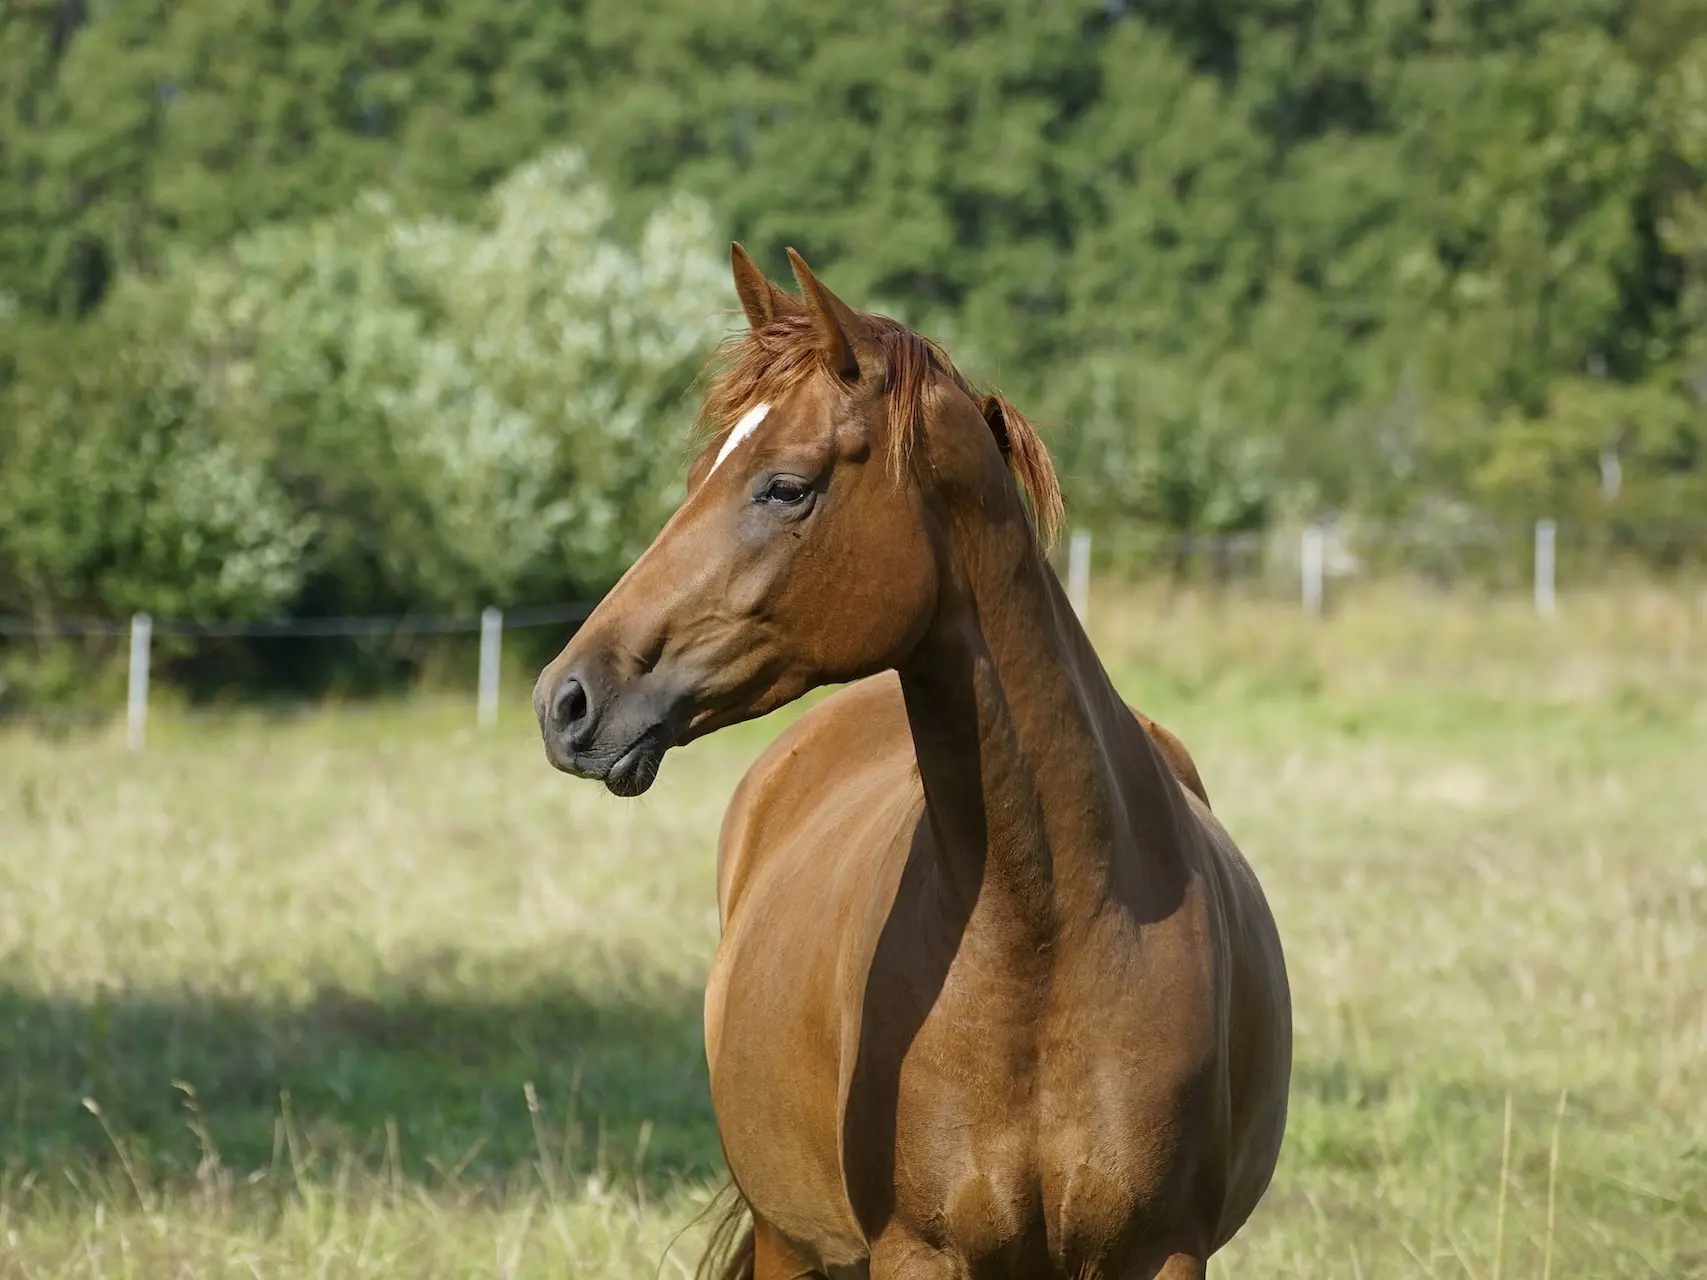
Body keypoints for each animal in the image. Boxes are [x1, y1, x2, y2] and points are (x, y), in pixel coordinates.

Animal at [529, 245, 1283, 1276]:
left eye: (785, 486)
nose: (565, 701)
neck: (1052, 934)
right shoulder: (918, 1251)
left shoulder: (1162, 1253)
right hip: (787, 1239)